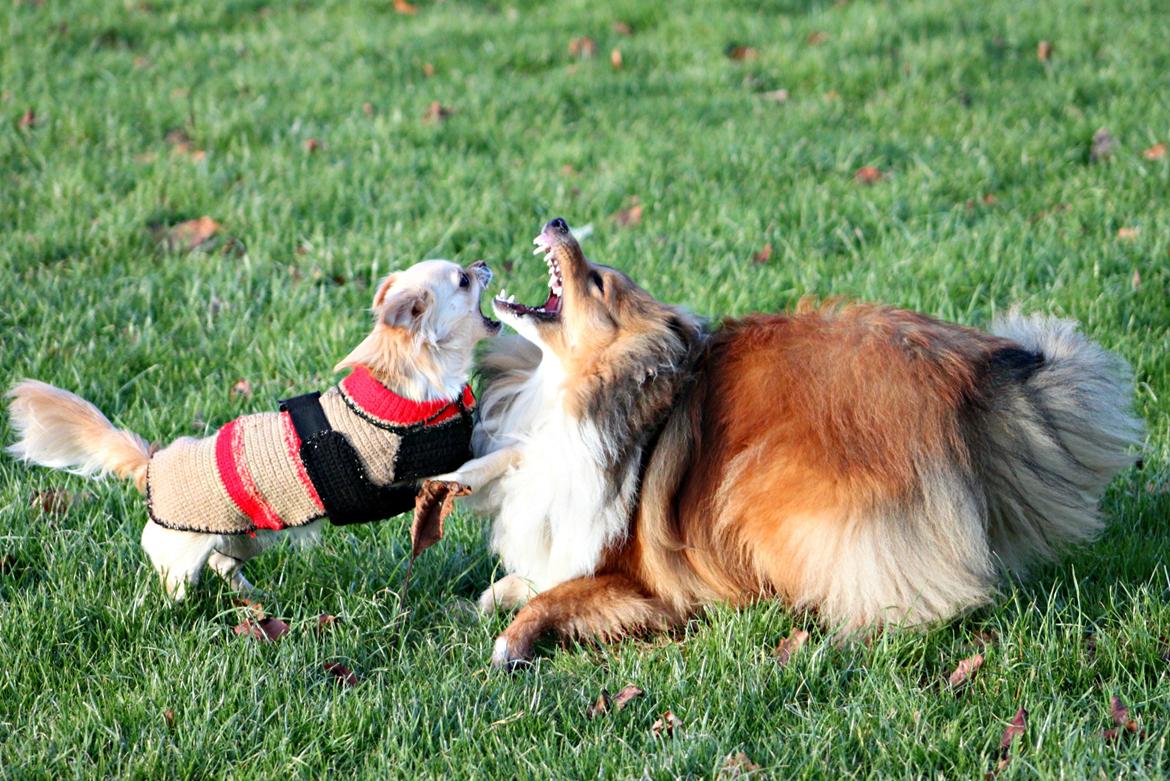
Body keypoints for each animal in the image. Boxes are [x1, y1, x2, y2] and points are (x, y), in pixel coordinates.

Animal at [6, 260, 498, 598]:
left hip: (248, 539)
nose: (482, 263)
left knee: (226, 566)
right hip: (183, 557)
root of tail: (152, 466)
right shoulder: (430, 465)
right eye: (463, 281)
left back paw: (255, 598)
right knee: (176, 584)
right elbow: (478, 456)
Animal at [439, 218, 1141, 664]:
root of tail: (965, 375)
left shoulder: (636, 579)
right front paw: (487, 604)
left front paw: (510, 644)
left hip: (759, 482)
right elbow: (518, 583)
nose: (558, 220)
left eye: (599, 284)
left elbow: (553, 598)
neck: (577, 394)